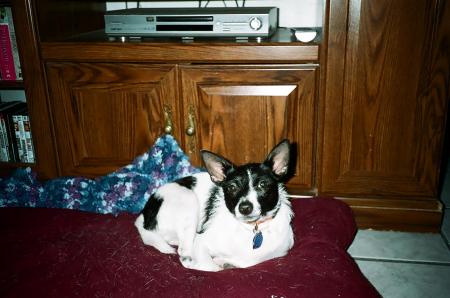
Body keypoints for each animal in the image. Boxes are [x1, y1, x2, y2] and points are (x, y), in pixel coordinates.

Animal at [134, 139, 296, 272]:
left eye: (263, 184)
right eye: (231, 187)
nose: (244, 208)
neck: (251, 229)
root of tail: (144, 214)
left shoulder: (281, 250)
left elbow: (248, 261)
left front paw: (226, 261)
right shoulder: (200, 242)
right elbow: (212, 267)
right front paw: (219, 262)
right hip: (188, 202)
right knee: (184, 254)